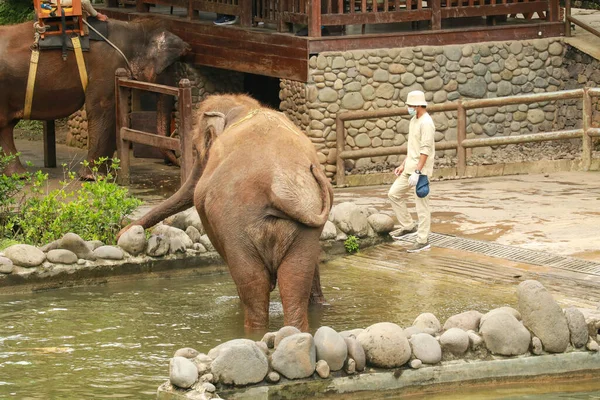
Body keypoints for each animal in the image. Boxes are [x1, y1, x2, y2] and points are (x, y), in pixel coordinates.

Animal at [0, 17, 190, 177]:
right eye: (168, 68)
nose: (175, 162)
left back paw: (17, 175)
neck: (133, 28)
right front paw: (92, 177)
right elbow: (101, 109)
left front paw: (105, 173)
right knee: (4, 127)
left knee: (6, 127)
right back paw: (19, 175)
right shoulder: (107, 69)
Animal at [118, 94, 332, 332]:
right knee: (295, 278)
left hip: (236, 226)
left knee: (252, 283)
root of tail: (277, 186)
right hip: (303, 227)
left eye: (196, 149)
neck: (243, 107)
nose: (121, 232)